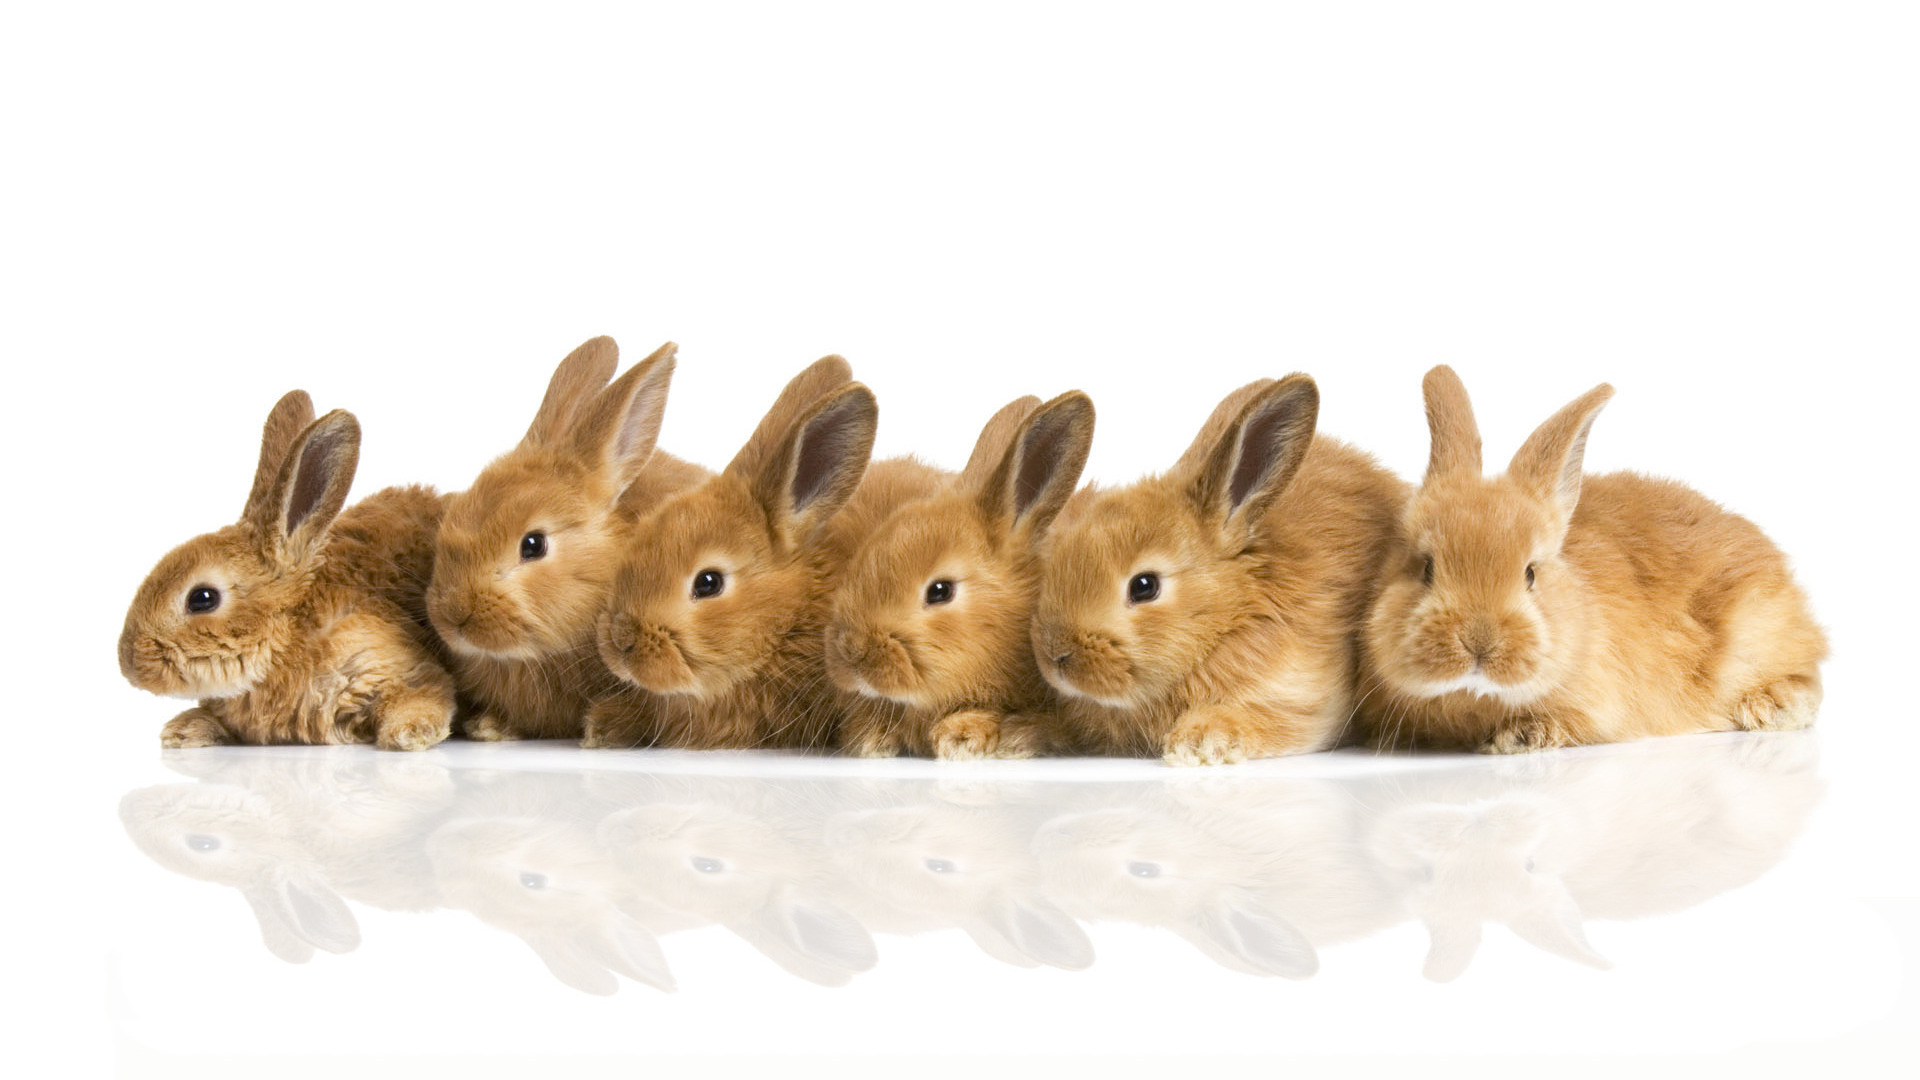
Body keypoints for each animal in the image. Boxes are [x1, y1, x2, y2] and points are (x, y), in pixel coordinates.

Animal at [118, 391, 457, 750]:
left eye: (202, 598)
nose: (129, 665)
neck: (289, 636)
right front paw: (182, 730)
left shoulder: (390, 662)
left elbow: (425, 692)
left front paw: (411, 732)